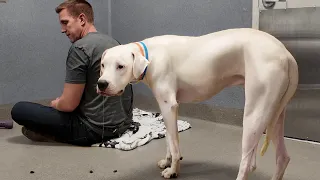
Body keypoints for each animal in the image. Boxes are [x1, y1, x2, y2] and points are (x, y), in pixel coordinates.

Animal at [96, 27, 298, 179]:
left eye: (120, 66)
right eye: (103, 65)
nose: (101, 84)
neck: (149, 56)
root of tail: (286, 54)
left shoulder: (169, 106)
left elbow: (175, 144)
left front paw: (173, 170)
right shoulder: (167, 108)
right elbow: (169, 137)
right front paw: (167, 161)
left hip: (255, 115)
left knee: (248, 164)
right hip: (275, 115)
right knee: (283, 158)